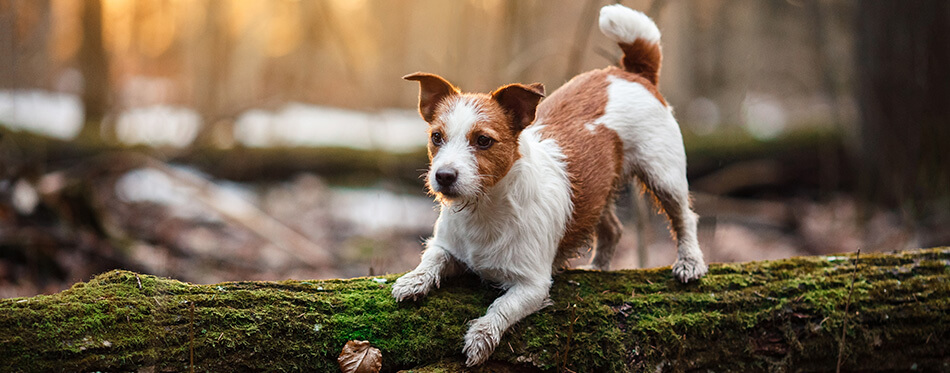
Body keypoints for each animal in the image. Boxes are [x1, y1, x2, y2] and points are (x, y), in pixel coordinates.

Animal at [390, 4, 712, 364]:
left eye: (483, 140)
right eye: (436, 137)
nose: (443, 176)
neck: (484, 209)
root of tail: (632, 73)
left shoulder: (532, 285)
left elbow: (501, 307)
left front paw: (480, 337)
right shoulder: (446, 246)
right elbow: (430, 260)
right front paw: (412, 281)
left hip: (663, 173)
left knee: (684, 217)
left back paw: (689, 262)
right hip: (598, 188)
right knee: (613, 229)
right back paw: (598, 268)